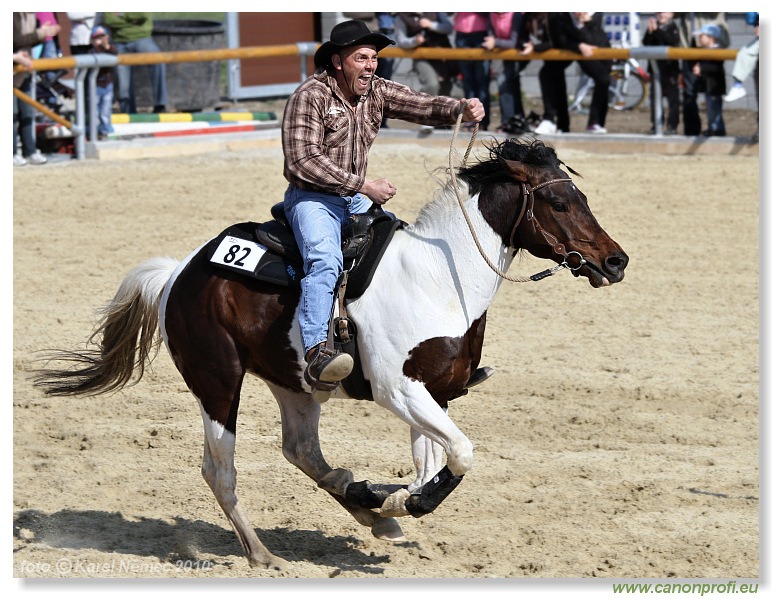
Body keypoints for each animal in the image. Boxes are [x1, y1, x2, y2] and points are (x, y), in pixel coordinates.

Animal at [34, 138, 628, 568]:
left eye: (583, 197)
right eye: (558, 201)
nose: (616, 261)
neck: (438, 277)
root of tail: (180, 272)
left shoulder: (435, 395)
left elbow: (432, 461)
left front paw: (387, 502)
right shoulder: (398, 391)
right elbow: (459, 455)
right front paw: (402, 501)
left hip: (295, 382)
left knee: (302, 452)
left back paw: (363, 503)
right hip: (217, 381)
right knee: (220, 471)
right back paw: (264, 554)